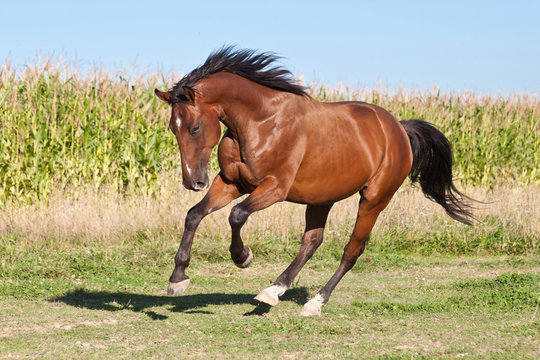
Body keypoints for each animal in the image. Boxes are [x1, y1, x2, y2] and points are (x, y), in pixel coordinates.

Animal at [153, 46, 472, 316]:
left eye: (194, 127)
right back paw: (273, 291)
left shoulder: (274, 188)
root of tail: (399, 130)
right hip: (322, 198)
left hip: (374, 199)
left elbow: (237, 215)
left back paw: (314, 303)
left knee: (352, 250)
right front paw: (178, 279)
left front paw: (243, 257)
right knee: (312, 242)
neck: (261, 122)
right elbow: (194, 214)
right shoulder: (232, 183)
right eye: (172, 128)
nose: (193, 182)